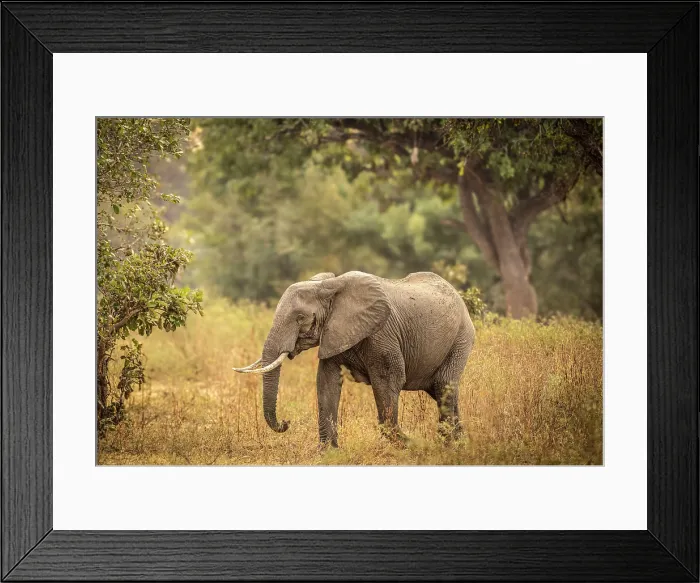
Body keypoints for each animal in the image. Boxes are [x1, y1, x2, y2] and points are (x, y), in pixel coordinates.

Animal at [233, 270, 475, 447]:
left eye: (300, 317)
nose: (286, 422)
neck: (328, 286)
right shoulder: (334, 333)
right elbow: (326, 382)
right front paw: (328, 453)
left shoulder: (382, 334)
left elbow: (388, 382)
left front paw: (411, 446)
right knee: (442, 392)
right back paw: (460, 444)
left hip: (461, 338)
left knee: (444, 386)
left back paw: (446, 446)